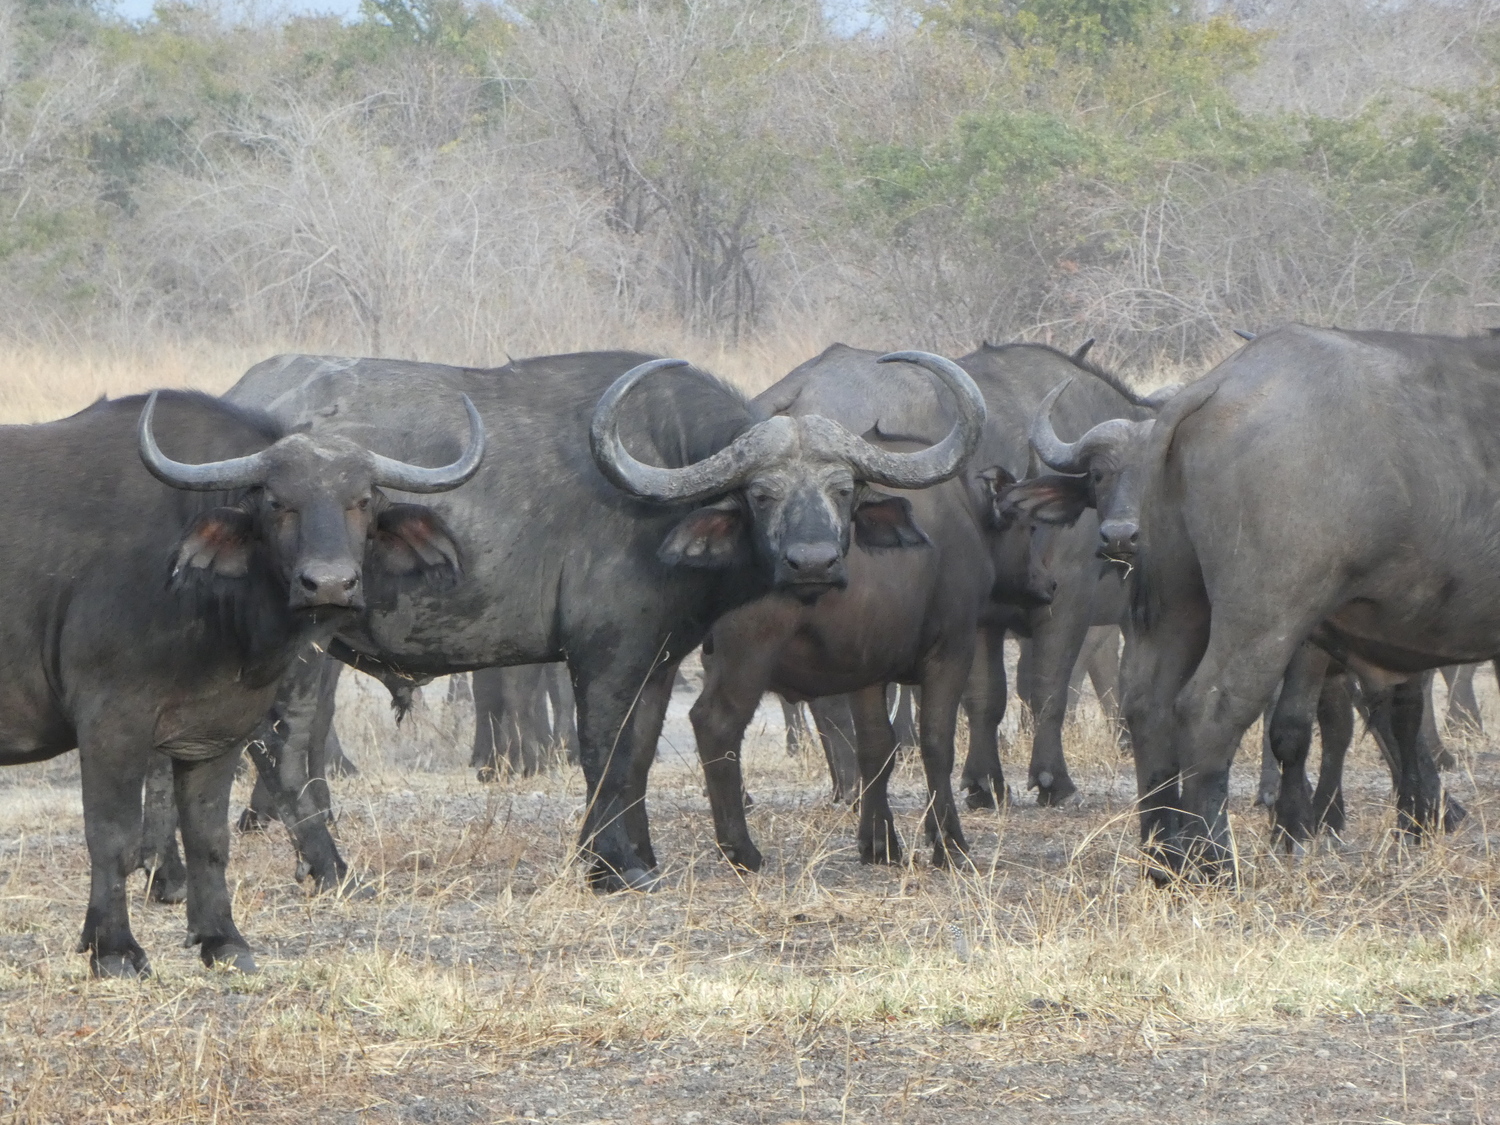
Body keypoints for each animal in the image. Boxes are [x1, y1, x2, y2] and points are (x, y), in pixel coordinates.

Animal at [0, 393, 474, 972]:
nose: (329, 584)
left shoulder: (215, 733)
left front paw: (222, 939)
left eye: (361, 500)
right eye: (276, 501)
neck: (205, 598)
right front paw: (113, 949)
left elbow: (209, 838)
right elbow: (112, 837)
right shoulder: (111, 725)